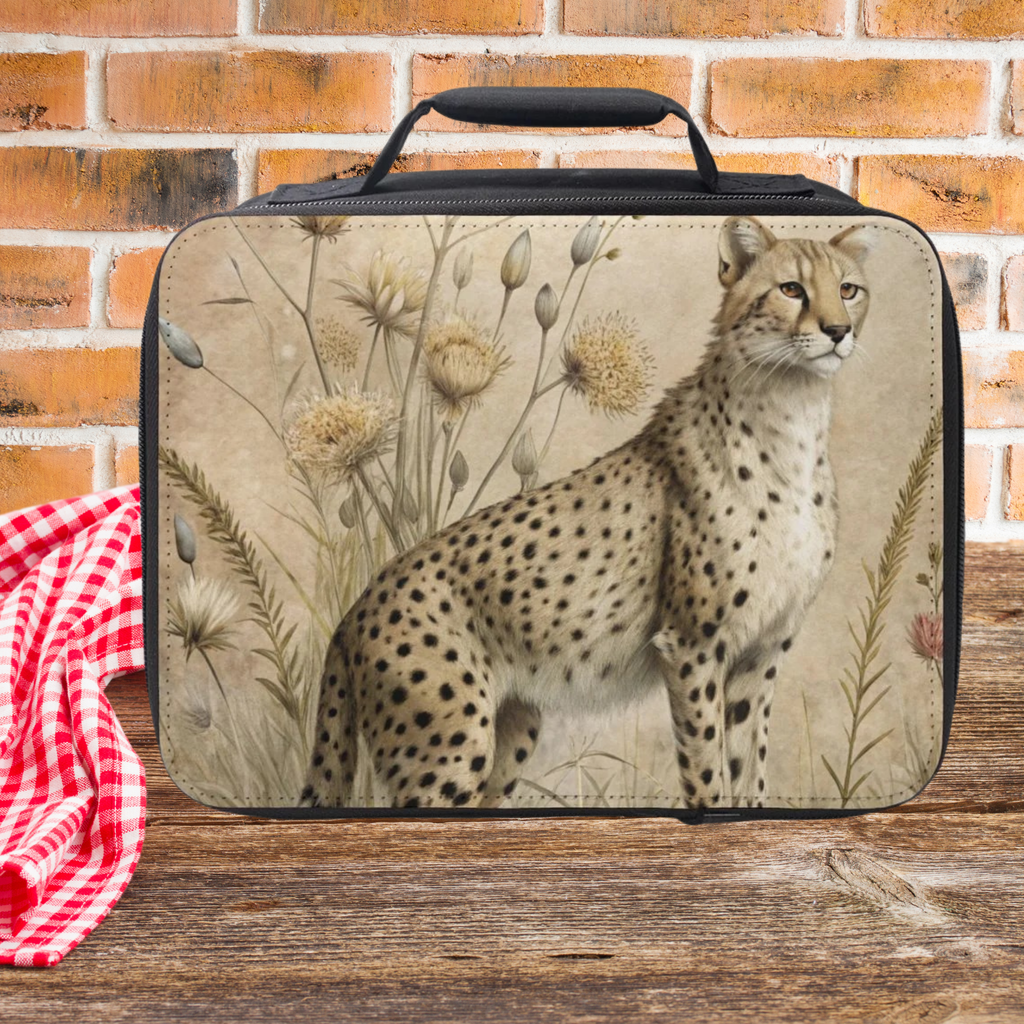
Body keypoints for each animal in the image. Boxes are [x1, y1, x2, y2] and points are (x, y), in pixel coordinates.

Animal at [298, 215, 874, 811]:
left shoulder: (759, 655)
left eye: (848, 289)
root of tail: (354, 610)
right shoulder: (692, 647)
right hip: (448, 749)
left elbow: (747, 769)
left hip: (512, 729)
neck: (790, 417)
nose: (837, 330)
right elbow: (708, 772)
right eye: (791, 289)